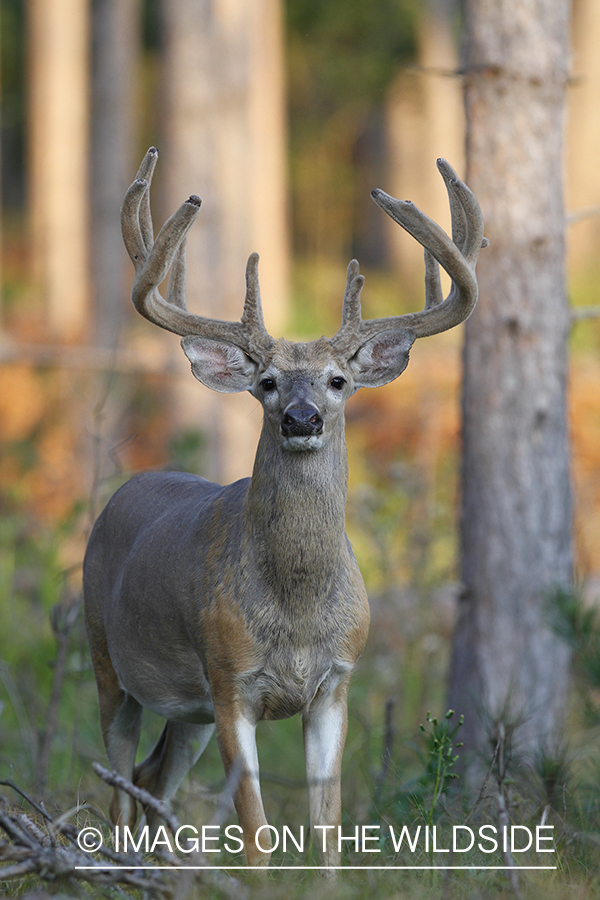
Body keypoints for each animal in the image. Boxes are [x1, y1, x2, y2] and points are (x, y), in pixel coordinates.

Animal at [84, 148, 486, 872]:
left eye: (338, 380)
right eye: (267, 383)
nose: (301, 418)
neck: (296, 610)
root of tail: (123, 491)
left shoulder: (336, 682)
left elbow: (328, 831)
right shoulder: (229, 679)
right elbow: (257, 833)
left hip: (185, 708)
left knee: (154, 778)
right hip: (107, 659)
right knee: (121, 785)